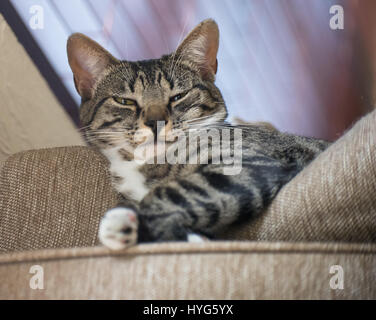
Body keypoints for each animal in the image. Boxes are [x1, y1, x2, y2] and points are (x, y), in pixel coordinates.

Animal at [67, 18, 328, 250]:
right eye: (125, 101)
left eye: (178, 96)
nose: (155, 122)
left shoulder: (248, 163)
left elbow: (177, 192)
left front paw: (128, 222)